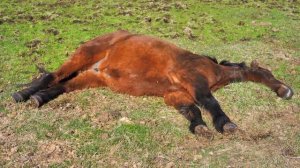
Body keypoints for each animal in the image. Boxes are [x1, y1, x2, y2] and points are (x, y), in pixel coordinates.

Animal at [12, 30, 292, 138]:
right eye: (270, 74)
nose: (287, 91)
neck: (212, 70)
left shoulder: (176, 94)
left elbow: (192, 110)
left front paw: (199, 127)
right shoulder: (193, 81)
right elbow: (209, 102)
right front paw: (226, 124)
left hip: (91, 78)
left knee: (60, 85)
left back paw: (37, 98)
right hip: (84, 56)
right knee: (51, 76)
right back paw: (22, 95)